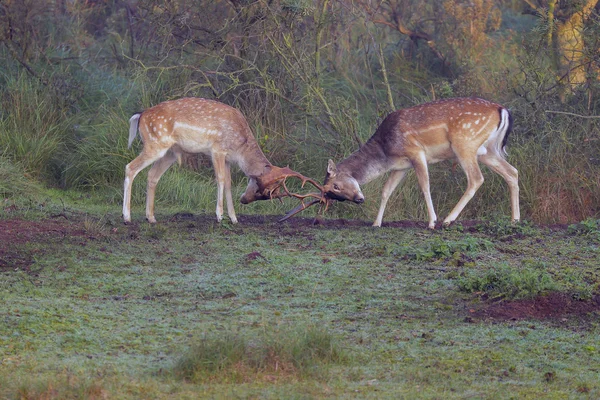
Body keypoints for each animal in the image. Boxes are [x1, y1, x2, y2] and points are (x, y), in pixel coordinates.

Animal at [123, 95, 324, 223]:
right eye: (261, 190)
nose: (244, 200)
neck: (240, 146)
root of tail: (139, 116)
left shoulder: (227, 158)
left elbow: (228, 183)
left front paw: (234, 218)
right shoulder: (217, 150)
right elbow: (219, 179)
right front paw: (219, 216)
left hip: (169, 152)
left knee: (152, 176)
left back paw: (151, 218)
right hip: (155, 144)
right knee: (130, 168)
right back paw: (127, 217)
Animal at [282, 96, 520, 228]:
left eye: (336, 186)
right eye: (333, 193)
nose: (359, 199)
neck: (386, 150)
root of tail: (503, 110)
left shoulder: (416, 153)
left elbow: (425, 186)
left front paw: (431, 222)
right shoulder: (401, 166)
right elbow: (386, 190)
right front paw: (376, 223)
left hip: (465, 144)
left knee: (476, 179)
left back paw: (447, 220)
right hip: (487, 151)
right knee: (512, 172)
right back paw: (515, 219)